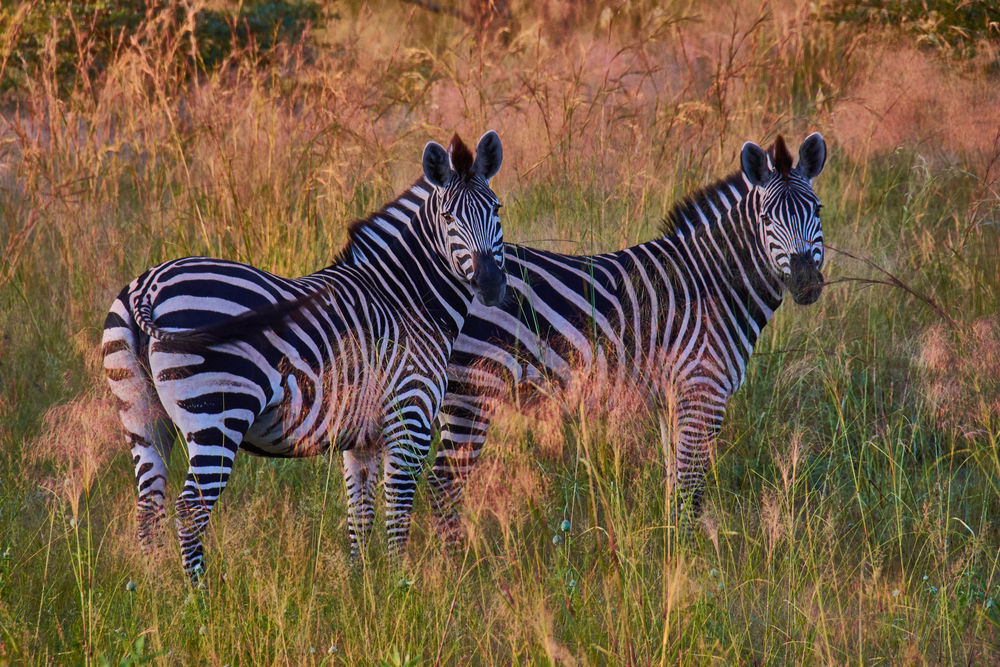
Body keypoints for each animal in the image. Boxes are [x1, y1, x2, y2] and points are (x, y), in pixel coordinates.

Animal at [104, 130, 508, 580]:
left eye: (496, 209)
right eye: (449, 218)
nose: (491, 285)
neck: (405, 300)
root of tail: (149, 287)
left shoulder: (362, 437)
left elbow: (360, 516)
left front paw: (362, 586)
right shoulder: (410, 416)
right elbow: (398, 511)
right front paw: (402, 584)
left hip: (141, 415)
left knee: (148, 507)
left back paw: (154, 591)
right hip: (216, 413)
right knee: (189, 510)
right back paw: (199, 598)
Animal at [424, 132, 828, 544]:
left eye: (817, 209)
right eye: (766, 218)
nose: (806, 283)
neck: (714, 284)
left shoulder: (673, 397)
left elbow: (674, 482)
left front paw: (671, 547)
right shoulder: (702, 390)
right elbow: (692, 487)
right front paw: (691, 552)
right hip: (472, 389)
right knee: (444, 485)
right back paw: (457, 558)